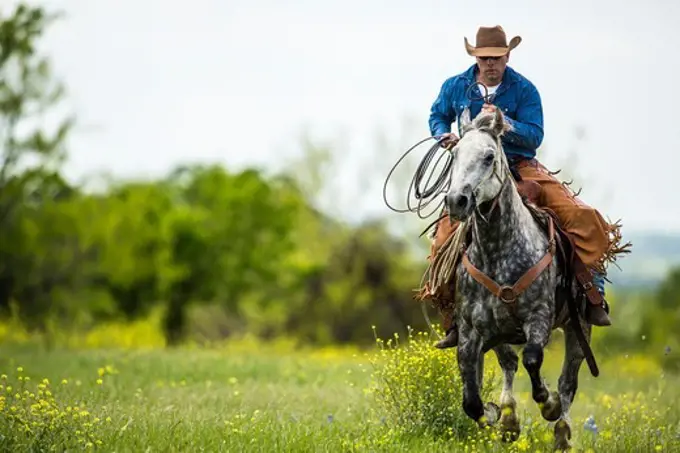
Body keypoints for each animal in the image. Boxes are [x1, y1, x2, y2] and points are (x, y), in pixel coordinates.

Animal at [440, 107, 596, 450]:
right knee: (509, 363)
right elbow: (470, 396)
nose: (457, 200)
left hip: (578, 326)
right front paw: (494, 415)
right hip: (499, 332)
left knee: (568, 380)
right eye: (454, 154)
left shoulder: (538, 317)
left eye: (489, 156)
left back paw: (562, 431)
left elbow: (534, 360)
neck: (498, 251)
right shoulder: (471, 329)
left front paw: (548, 404)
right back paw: (510, 418)